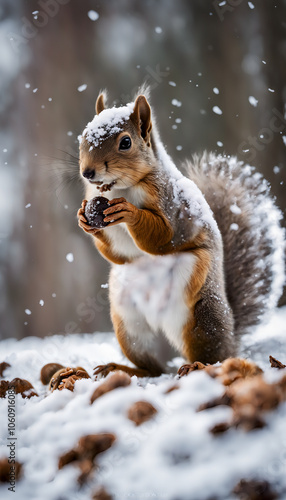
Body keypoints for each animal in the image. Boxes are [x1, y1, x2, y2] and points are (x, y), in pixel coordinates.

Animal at [76, 86, 286, 376]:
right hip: (129, 327)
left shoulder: (173, 208)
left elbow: (163, 237)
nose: (88, 172)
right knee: (153, 367)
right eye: (83, 136)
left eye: (125, 142)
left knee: (213, 355)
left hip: (202, 317)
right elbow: (117, 252)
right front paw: (83, 218)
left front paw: (130, 213)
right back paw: (125, 369)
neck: (120, 188)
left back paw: (197, 365)